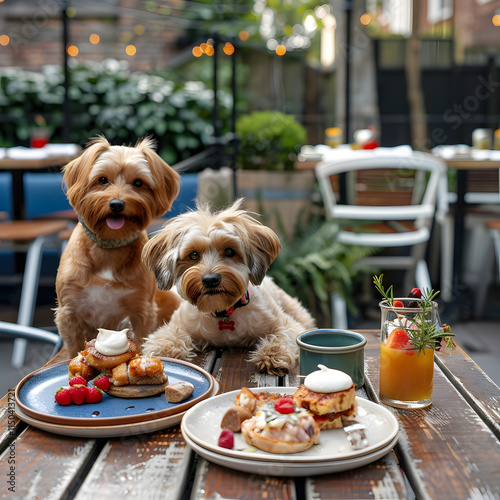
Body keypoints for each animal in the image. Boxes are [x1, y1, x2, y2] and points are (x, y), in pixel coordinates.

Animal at [141, 199, 314, 376]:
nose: (210, 280)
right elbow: (167, 338)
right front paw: (163, 354)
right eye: (194, 255)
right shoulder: (176, 325)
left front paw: (273, 355)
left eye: (230, 251)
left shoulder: (285, 324)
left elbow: (282, 337)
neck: (223, 311)